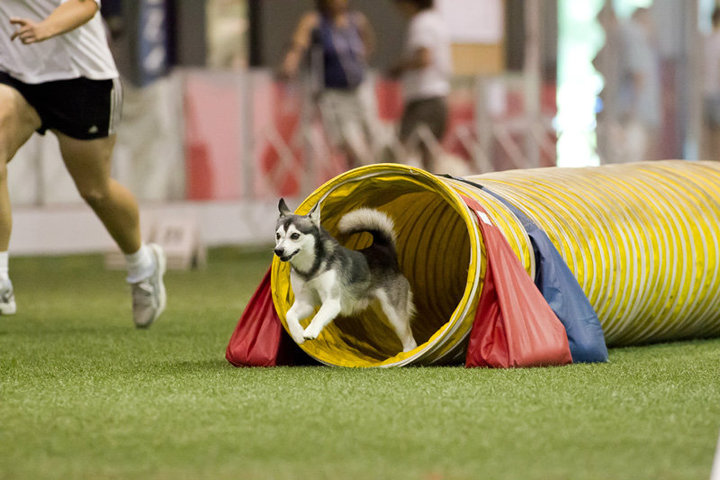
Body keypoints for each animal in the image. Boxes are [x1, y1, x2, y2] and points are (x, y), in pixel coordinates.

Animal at [274, 199, 416, 352]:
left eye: (295, 235)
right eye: (278, 235)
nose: (278, 250)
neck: (310, 268)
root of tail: (383, 250)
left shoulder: (332, 301)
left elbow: (318, 316)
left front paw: (310, 331)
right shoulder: (305, 302)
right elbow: (289, 315)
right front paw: (298, 334)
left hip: (394, 312)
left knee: (410, 340)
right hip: (383, 312)